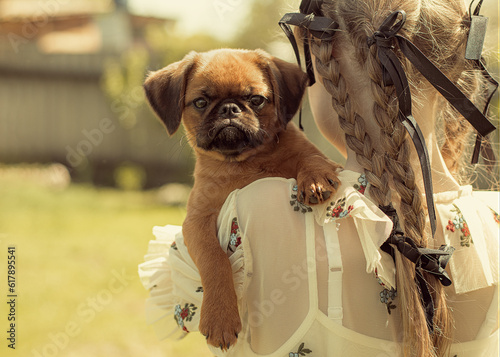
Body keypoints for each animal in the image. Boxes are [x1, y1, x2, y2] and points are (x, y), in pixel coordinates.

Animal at [143, 48, 342, 350]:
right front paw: (220, 318)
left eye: (256, 100)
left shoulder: (307, 152)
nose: (229, 109)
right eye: (201, 102)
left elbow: (310, 156)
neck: (243, 164)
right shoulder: (197, 221)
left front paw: (315, 177)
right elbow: (214, 260)